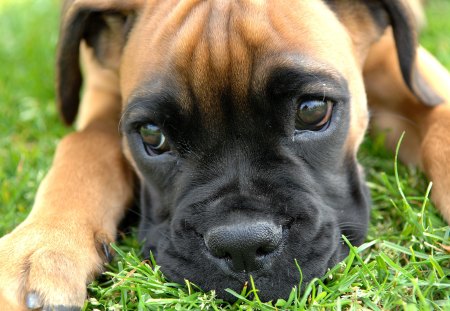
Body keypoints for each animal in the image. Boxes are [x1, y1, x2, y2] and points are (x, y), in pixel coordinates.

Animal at [0, 0, 448, 310]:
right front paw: (45, 246)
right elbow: (83, 146)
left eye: (312, 111)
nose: (243, 245)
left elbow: (440, 123)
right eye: (152, 136)